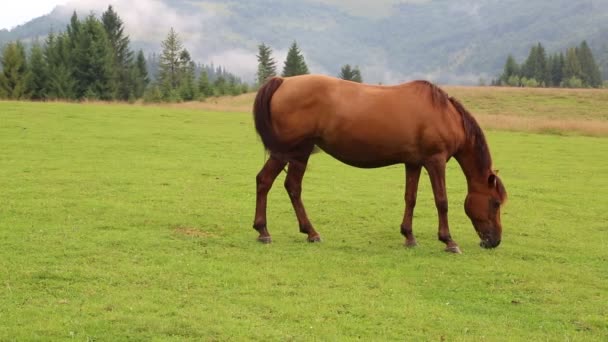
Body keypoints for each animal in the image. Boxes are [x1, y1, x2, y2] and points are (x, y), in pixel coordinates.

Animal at [249, 75, 506, 252]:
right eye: (495, 203)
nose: (494, 241)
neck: (445, 115)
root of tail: (283, 81)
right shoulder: (436, 161)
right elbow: (441, 201)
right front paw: (449, 241)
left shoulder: (413, 163)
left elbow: (410, 198)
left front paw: (409, 236)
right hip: (288, 152)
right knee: (266, 181)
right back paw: (265, 231)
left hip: (300, 153)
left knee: (289, 186)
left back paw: (307, 232)